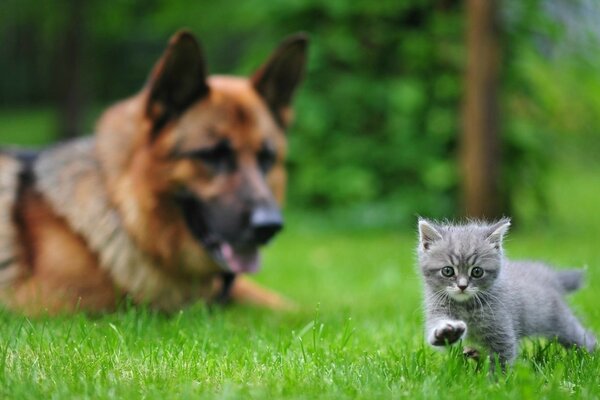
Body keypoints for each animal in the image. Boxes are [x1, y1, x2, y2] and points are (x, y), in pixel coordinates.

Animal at [0, 29, 310, 314]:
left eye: (266, 158)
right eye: (213, 155)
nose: (269, 226)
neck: (123, 212)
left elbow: (288, 307)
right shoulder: (50, 303)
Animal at [418, 219, 596, 368]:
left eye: (477, 272)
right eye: (448, 271)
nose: (462, 286)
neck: (466, 306)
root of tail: (550, 276)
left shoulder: (501, 329)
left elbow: (502, 358)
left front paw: (496, 383)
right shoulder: (438, 308)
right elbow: (438, 328)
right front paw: (446, 333)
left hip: (560, 322)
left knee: (583, 337)